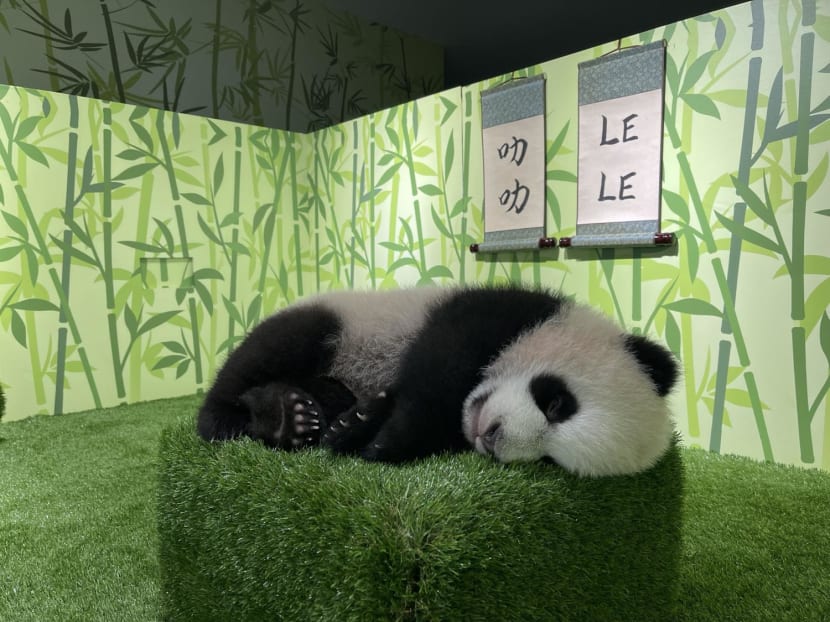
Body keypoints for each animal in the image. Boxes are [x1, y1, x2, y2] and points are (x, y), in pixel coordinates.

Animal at [197, 283, 678, 476]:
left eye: (550, 461)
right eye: (558, 403)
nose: (492, 436)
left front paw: (360, 425)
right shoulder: (498, 310)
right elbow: (439, 364)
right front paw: (380, 439)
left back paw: (293, 416)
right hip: (340, 318)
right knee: (273, 349)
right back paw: (232, 417)